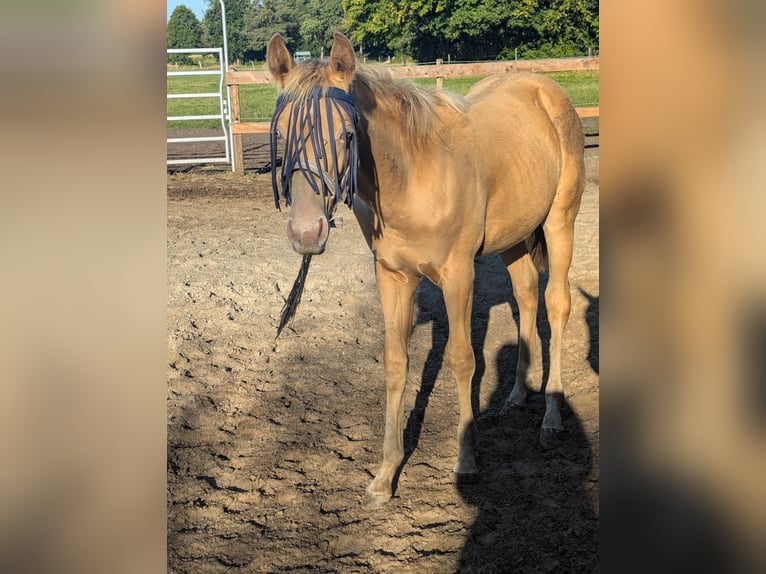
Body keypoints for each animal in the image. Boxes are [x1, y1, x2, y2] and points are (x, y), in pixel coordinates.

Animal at [267, 32, 585, 506]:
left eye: (346, 135)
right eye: (280, 135)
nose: (307, 232)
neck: (413, 176)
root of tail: (546, 88)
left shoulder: (459, 276)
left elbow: (462, 359)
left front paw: (466, 462)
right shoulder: (393, 277)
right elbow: (396, 361)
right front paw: (385, 475)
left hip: (560, 223)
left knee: (556, 303)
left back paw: (551, 418)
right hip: (513, 237)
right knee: (527, 294)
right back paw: (515, 395)